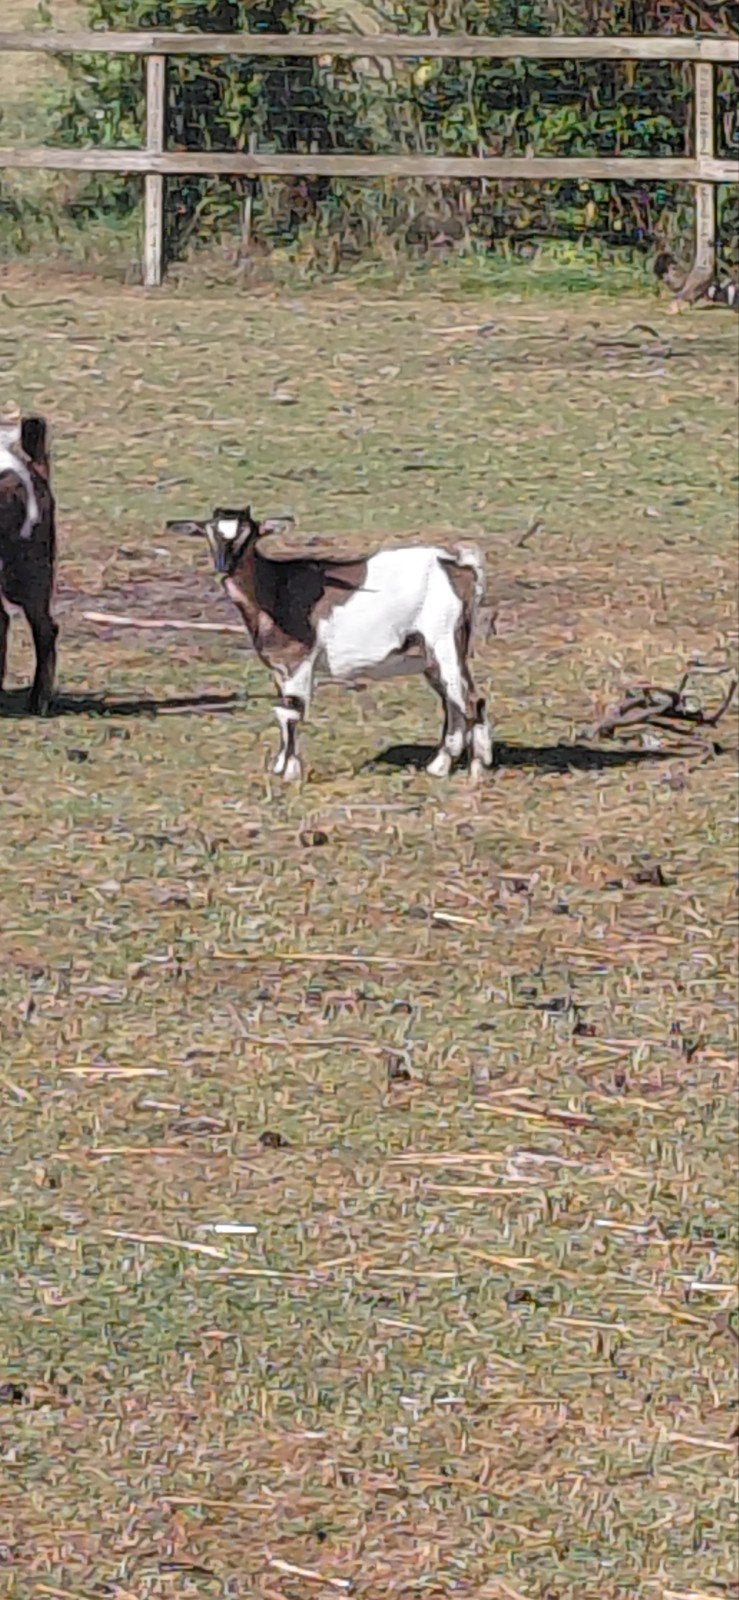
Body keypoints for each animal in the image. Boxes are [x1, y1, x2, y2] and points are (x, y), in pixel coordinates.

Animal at [169, 507, 493, 782]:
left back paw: (476, 770)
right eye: (210, 533)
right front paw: (279, 766)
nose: (225, 565)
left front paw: (291, 772)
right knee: (454, 700)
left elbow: (291, 711)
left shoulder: (299, 659)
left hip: (445, 638)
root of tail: (459, 567)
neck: (275, 590)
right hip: (429, 653)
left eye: (249, 535)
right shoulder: (278, 667)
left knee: (469, 699)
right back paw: (440, 766)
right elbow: (281, 709)